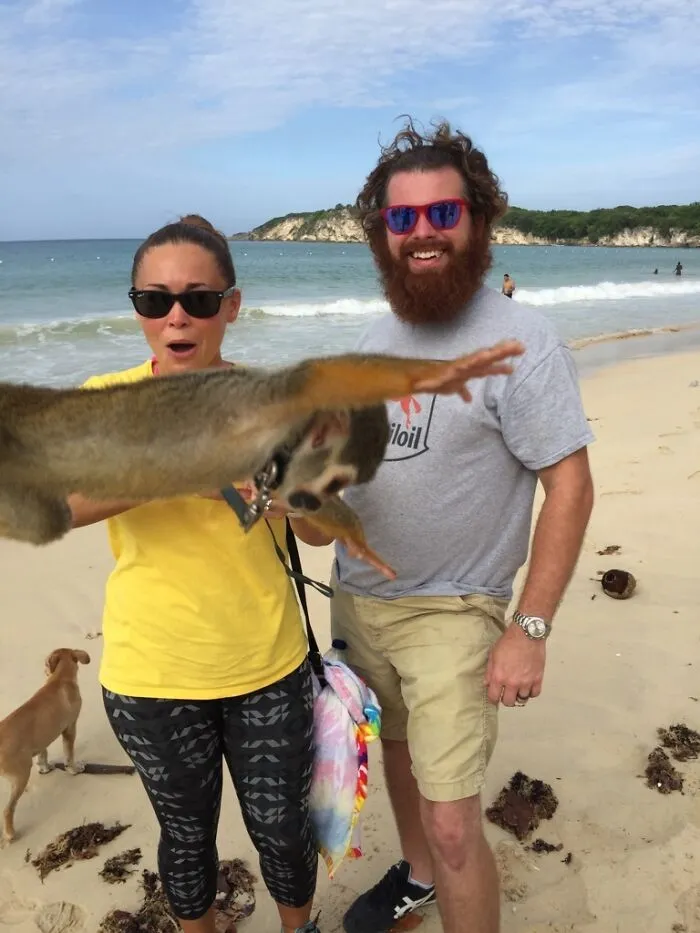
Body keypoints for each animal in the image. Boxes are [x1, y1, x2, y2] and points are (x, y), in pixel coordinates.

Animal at [0, 341, 524, 575]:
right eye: (334, 482)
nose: (311, 502)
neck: (286, 438)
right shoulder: (274, 404)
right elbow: (320, 374)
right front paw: (442, 372)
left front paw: (356, 540)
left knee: (50, 519)